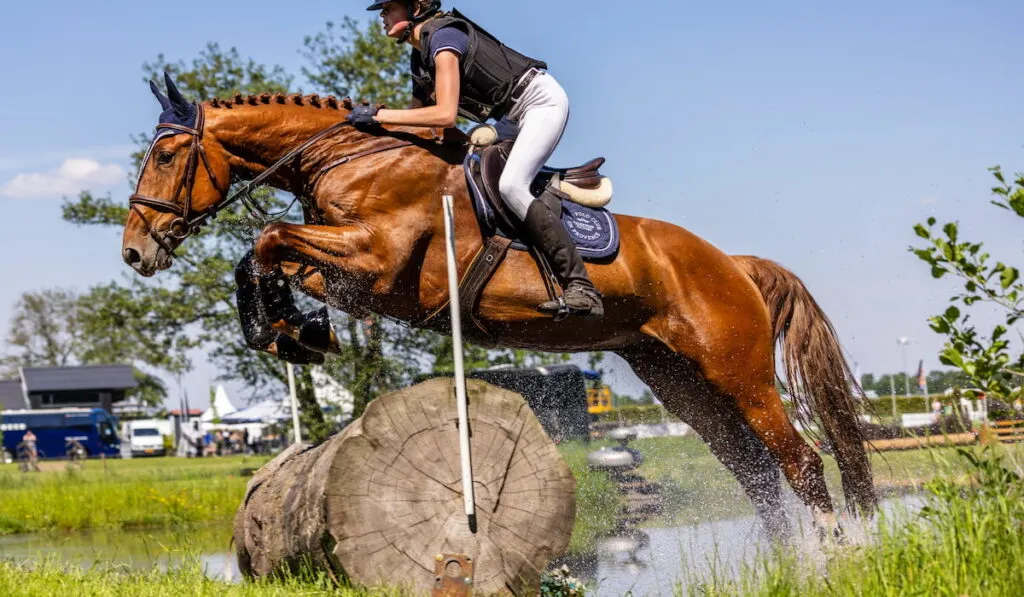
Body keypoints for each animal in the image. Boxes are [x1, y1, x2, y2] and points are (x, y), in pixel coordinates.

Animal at [119, 73, 872, 536]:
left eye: (165, 156)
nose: (134, 251)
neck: (352, 158)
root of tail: (732, 263)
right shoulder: (357, 271)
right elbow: (267, 255)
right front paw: (294, 330)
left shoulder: (381, 260)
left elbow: (269, 238)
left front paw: (285, 328)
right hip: (679, 380)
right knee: (756, 475)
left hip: (738, 373)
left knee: (801, 464)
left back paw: (829, 557)